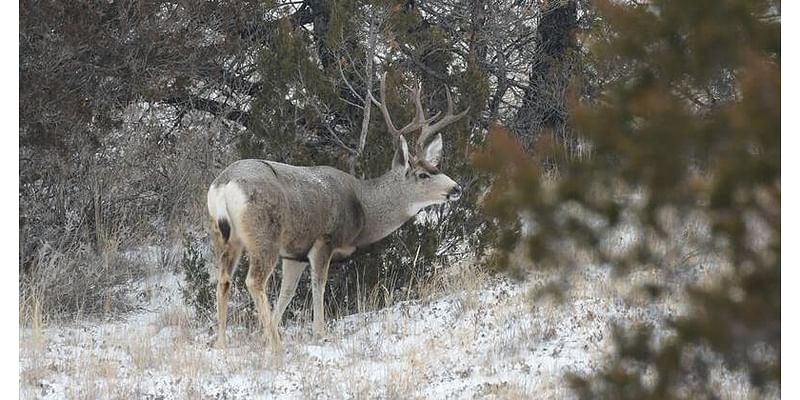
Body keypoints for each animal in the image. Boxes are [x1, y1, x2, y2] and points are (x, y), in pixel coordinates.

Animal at [206, 73, 468, 352]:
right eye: (423, 175)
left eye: (436, 167)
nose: (456, 188)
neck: (363, 208)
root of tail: (224, 185)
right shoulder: (324, 240)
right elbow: (318, 285)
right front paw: (318, 334)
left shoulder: (294, 254)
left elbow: (287, 292)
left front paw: (263, 336)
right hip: (264, 235)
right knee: (254, 281)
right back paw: (276, 346)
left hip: (224, 236)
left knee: (223, 279)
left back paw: (222, 343)